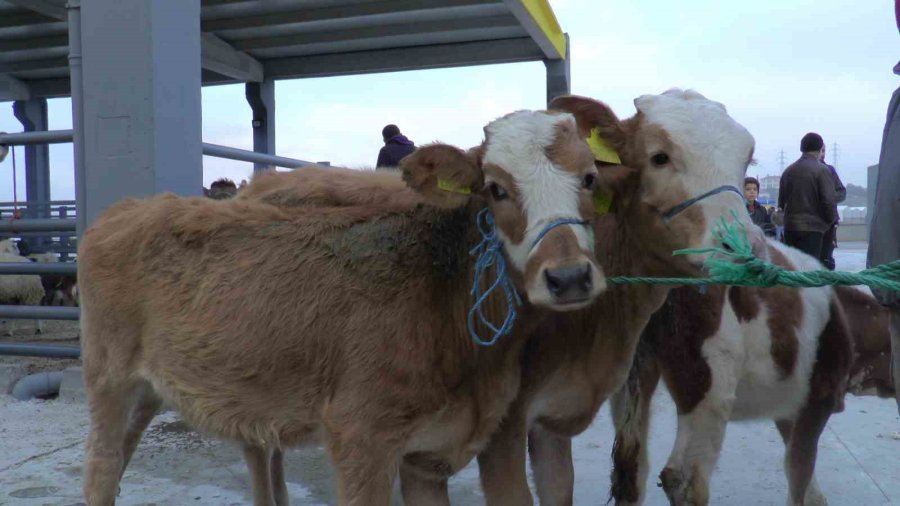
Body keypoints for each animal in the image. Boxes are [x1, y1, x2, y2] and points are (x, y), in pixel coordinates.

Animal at [81, 108, 604, 504]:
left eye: (591, 179)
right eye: (496, 189)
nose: (568, 277)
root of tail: (127, 208)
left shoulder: (436, 450)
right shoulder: (361, 437)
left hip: (158, 388)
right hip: (109, 377)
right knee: (103, 470)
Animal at [608, 238, 868, 506]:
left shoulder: (789, 405)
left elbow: (793, 455)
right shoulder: (819, 397)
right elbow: (800, 465)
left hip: (633, 375)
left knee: (633, 471)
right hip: (711, 387)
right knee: (684, 480)